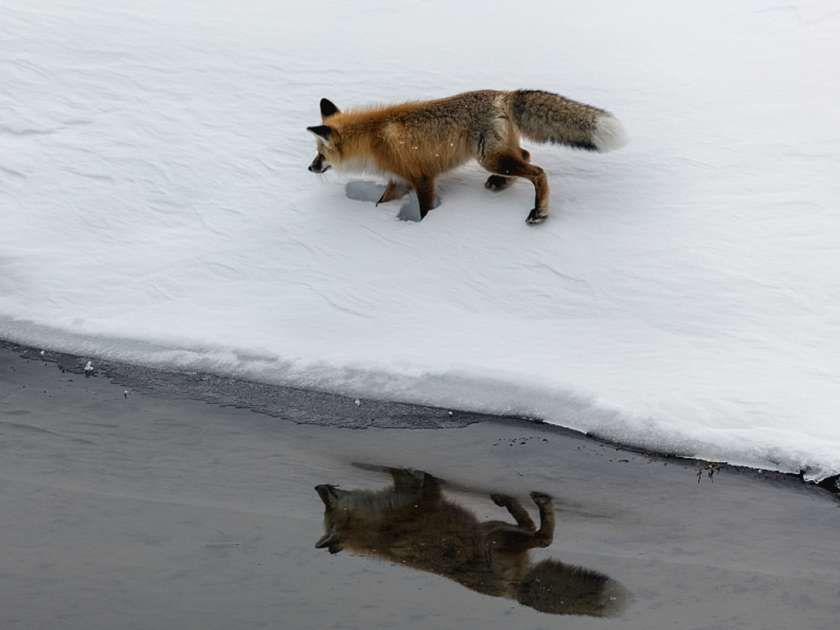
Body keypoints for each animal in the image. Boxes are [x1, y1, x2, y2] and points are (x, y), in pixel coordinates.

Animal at [306, 89, 626, 224]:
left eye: (320, 153)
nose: (310, 167)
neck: (373, 138)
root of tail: (503, 94)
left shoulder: (422, 177)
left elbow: (425, 209)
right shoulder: (398, 180)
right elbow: (382, 201)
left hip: (490, 158)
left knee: (538, 171)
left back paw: (539, 212)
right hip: (498, 155)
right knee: (526, 154)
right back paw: (500, 184)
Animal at [314, 466, 628, 617]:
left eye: (326, 507)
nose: (319, 486)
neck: (375, 527)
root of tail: (513, 590)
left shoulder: (410, 497)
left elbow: (405, 478)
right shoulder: (423, 502)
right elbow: (424, 483)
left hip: (492, 527)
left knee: (528, 526)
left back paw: (508, 501)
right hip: (496, 536)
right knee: (543, 538)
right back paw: (539, 505)